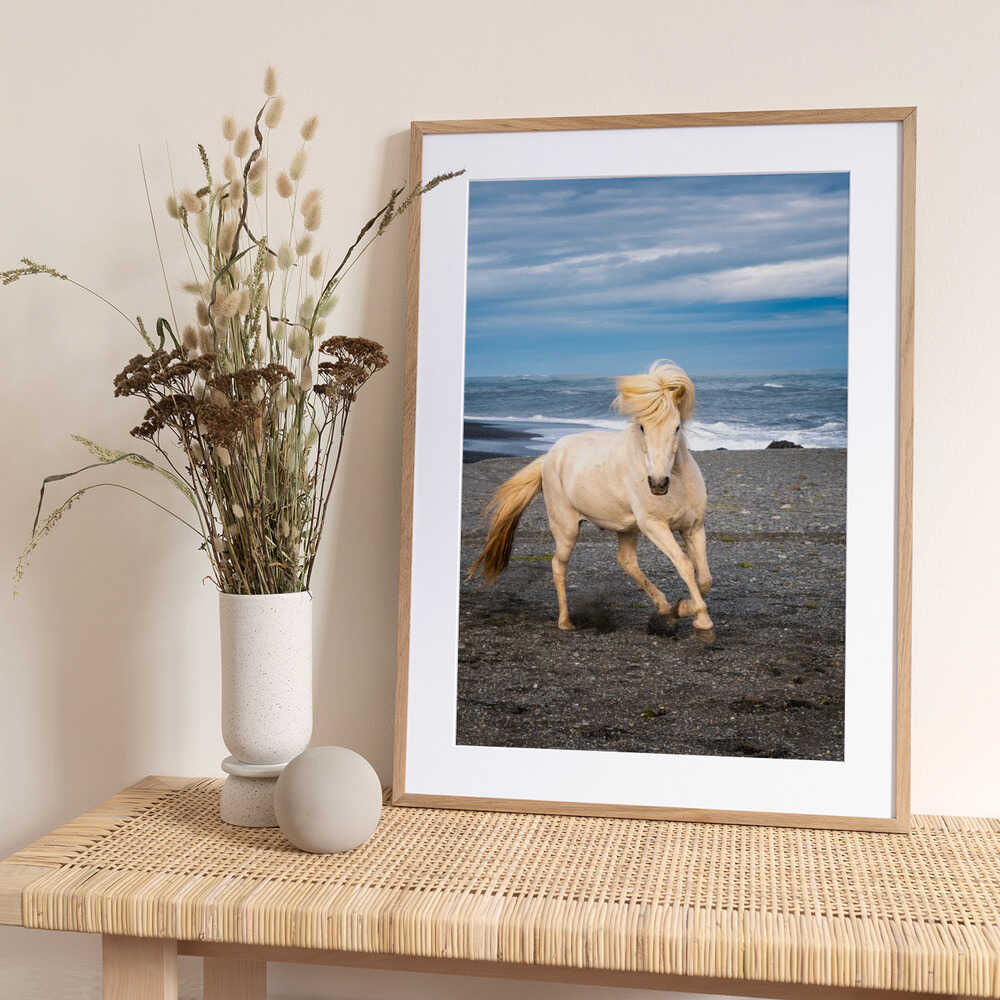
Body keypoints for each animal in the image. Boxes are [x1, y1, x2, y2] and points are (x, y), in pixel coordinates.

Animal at [469, 361, 714, 635]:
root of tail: (549, 456)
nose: (658, 484)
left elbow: (704, 577)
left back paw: (663, 607)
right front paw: (701, 620)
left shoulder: (693, 527)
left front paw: (682, 609)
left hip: (627, 528)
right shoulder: (655, 526)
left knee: (627, 562)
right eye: (642, 427)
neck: (678, 483)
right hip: (567, 529)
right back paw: (565, 621)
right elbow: (685, 565)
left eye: (677, 426)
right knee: (558, 564)